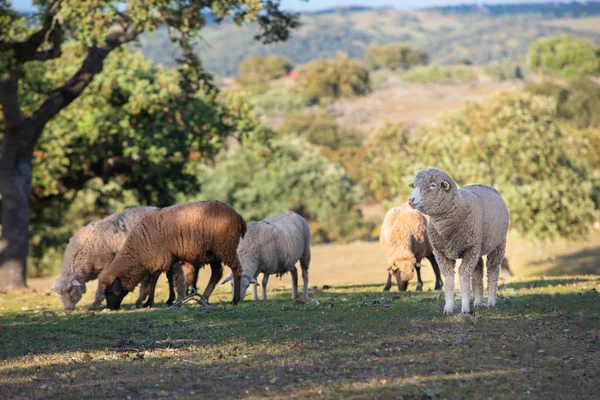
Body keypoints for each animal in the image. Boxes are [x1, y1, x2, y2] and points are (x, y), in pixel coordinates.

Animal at [98, 200, 246, 310]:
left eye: (109, 292)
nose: (111, 308)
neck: (138, 252)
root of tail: (239, 216)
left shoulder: (159, 257)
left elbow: (154, 279)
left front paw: (149, 302)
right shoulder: (169, 256)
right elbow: (169, 277)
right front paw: (170, 299)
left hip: (226, 247)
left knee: (236, 269)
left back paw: (235, 300)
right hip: (214, 252)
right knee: (217, 273)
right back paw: (204, 298)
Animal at [406, 167, 508, 314]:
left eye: (433, 185)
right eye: (414, 185)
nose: (411, 199)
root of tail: (484, 185)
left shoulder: (470, 249)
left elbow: (464, 278)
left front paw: (465, 308)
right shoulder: (441, 253)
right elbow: (448, 280)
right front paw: (449, 307)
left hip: (498, 244)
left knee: (493, 269)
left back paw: (491, 301)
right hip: (477, 247)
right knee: (478, 270)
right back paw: (478, 301)